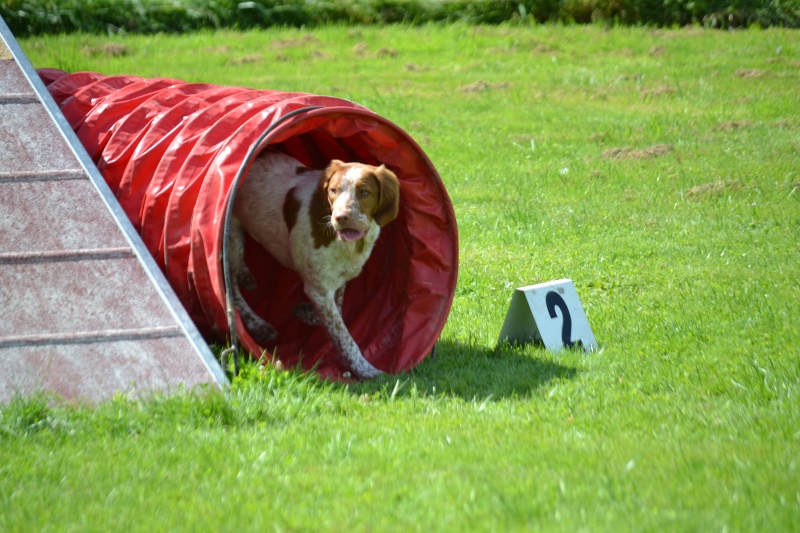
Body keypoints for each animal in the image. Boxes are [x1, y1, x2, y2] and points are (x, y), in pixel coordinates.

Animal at [228, 150, 400, 378]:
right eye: (333, 191)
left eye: (364, 192)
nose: (341, 217)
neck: (348, 244)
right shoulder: (318, 289)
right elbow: (343, 335)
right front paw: (366, 369)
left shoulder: (337, 281)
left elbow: (338, 311)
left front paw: (306, 313)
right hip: (230, 241)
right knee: (231, 287)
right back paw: (257, 325)